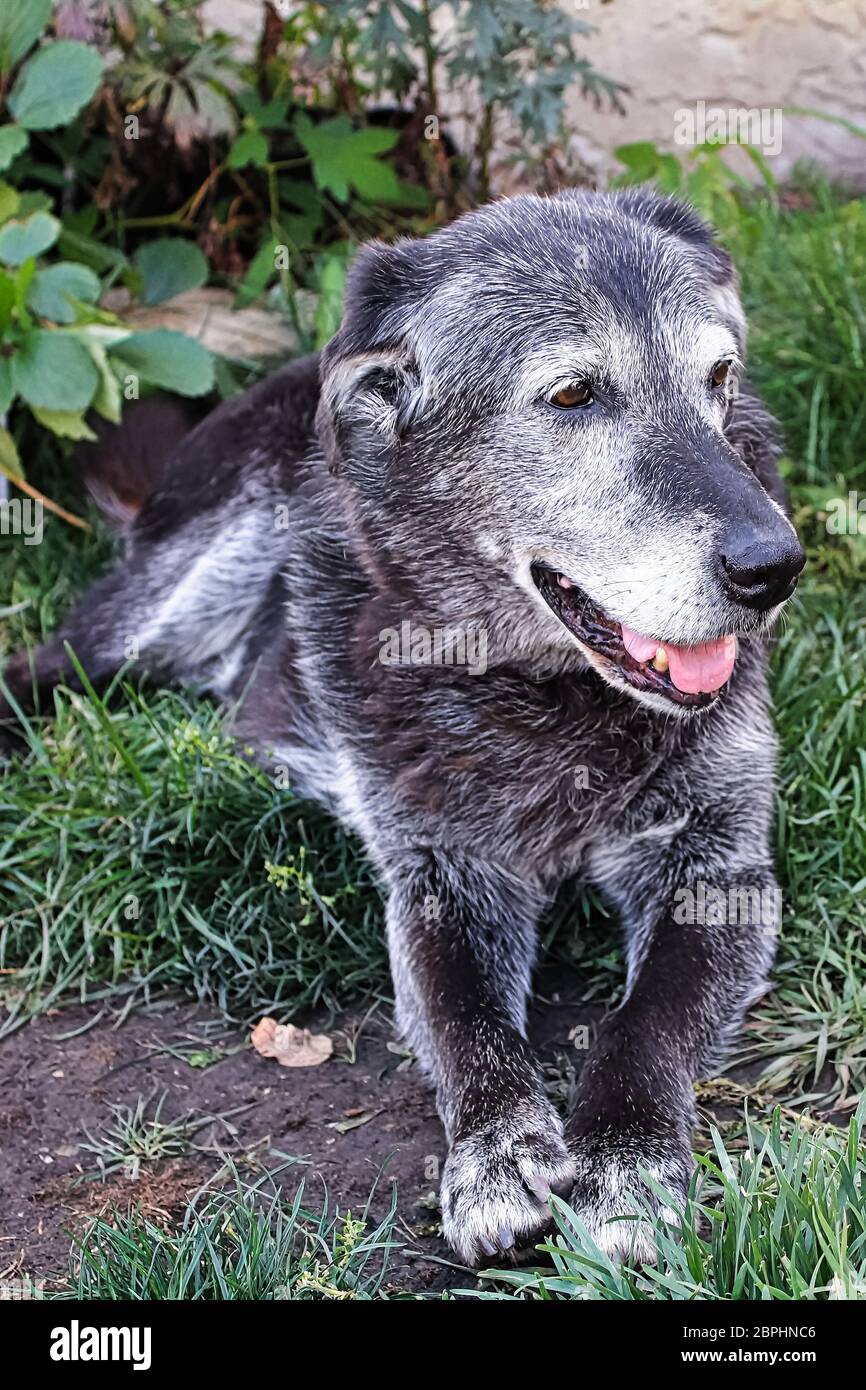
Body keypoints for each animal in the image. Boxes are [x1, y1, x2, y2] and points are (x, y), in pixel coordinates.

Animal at [0, 190, 806, 1267]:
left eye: (718, 378)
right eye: (571, 396)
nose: (773, 566)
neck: (540, 693)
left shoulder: (715, 867)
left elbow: (641, 1029)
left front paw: (625, 1168)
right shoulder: (439, 872)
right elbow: (467, 1022)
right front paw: (498, 1157)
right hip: (180, 589)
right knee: (44, 671)